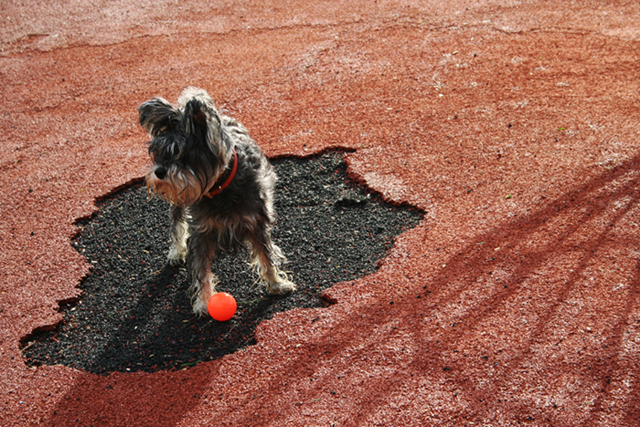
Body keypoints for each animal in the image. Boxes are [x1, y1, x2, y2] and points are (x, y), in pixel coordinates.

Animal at [139, 87, 296, 316]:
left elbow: (266, 256)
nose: (159, 172)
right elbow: (201, 269)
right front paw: (205, 301)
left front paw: (276, 284)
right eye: (157, 153)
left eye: (183, 153)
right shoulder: (201, 231)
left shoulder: (257, 222)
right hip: (180, 201)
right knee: (177, 222)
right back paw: (176, 250)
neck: (221, 187)